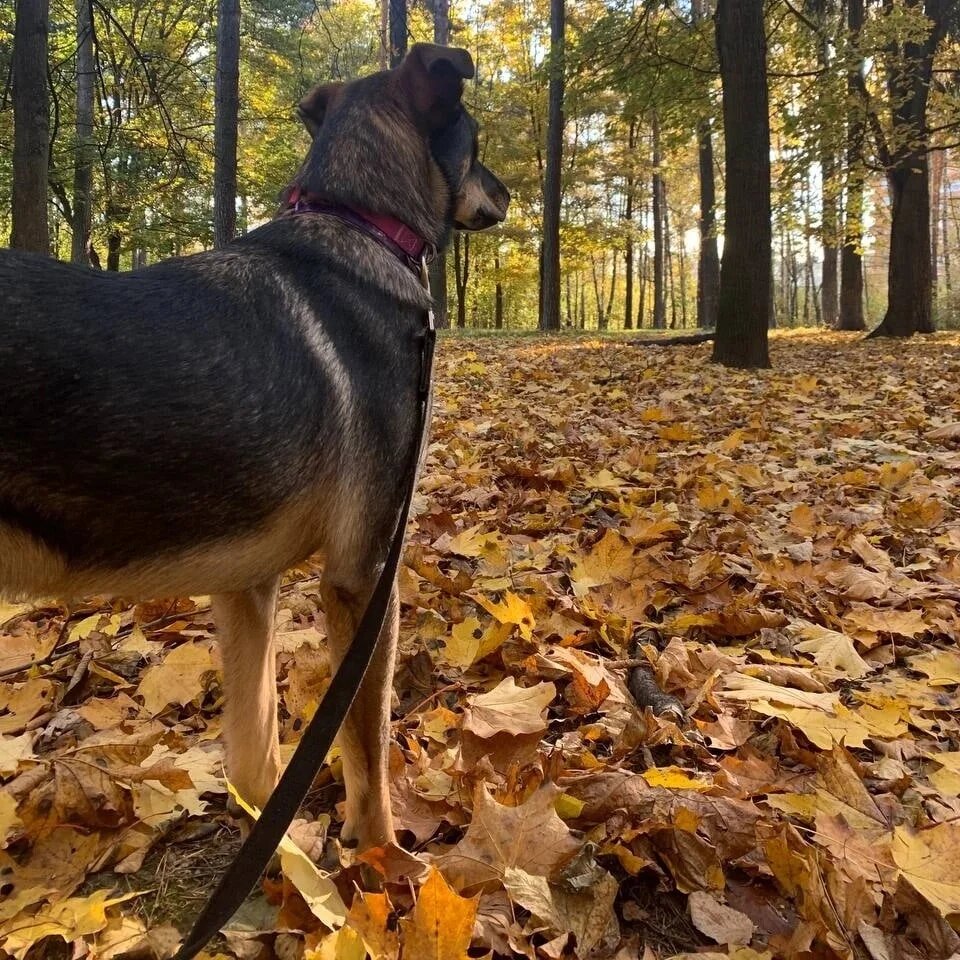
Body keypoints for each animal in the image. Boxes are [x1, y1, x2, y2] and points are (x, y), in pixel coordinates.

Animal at [0, 48, 510, 852]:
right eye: (477, 140)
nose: (510, 191)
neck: (359, 221)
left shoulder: (245, 584)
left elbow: (255, 756)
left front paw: (287, 858)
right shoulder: (363, 577)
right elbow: (368, 755)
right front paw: (383, 865)